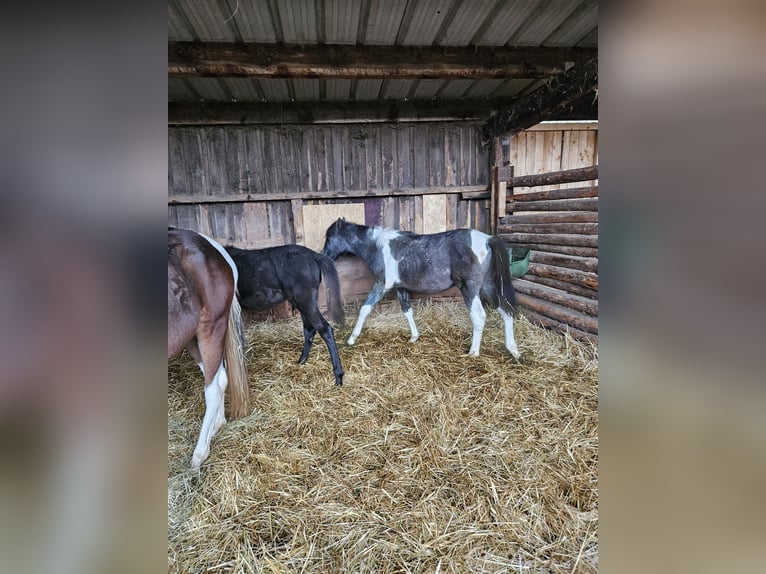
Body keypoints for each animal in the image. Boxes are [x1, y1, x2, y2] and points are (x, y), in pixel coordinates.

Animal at [169, 227, 250, 470]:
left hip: (210, 328)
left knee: (215, 384)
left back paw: (199, 455)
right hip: (191, 337)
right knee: (215, 376)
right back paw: (216, 426)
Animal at [224, 244, 346, 388]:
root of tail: (313, 255)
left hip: (304, 300)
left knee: (325, 329)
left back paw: (338, 376)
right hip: (300, 301)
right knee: (309, 329)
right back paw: (301, 361)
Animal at [320, 219, 524, 360]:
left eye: (329, 238)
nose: (324, 255)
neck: (378, 246)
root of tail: (488, 239)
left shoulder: (381, 284)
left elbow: (364, 309)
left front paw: (351, 339)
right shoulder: (401, 288)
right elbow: (407, 311)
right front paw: (414, 337)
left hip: (470, 288)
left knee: (479, 316)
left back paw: (473, 352)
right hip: (488, 286)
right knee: (506, 311)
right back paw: (513, 350)